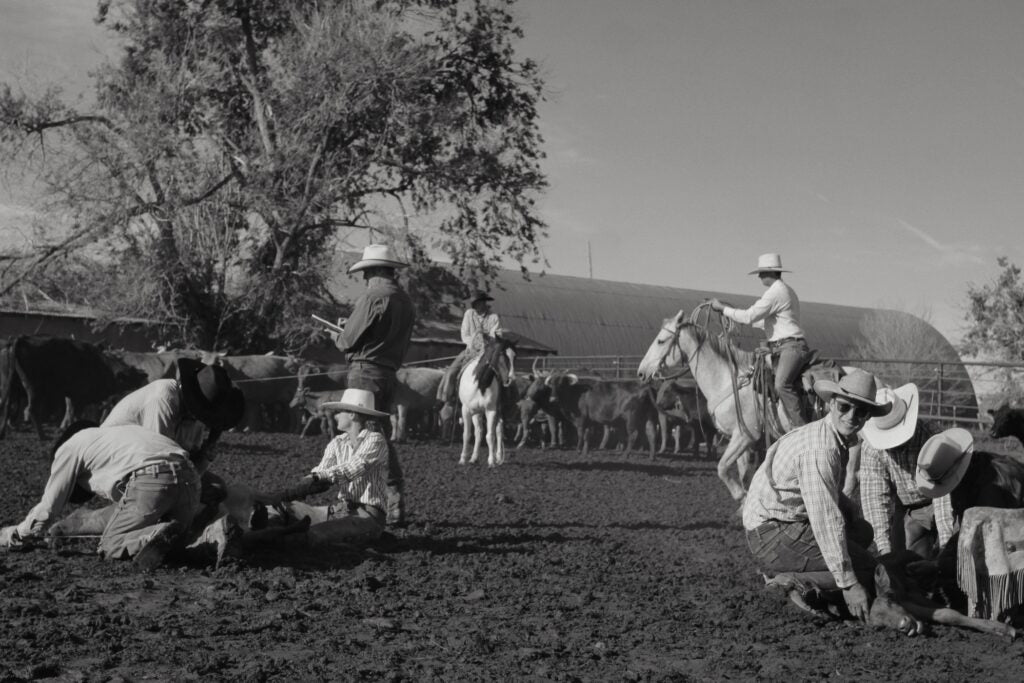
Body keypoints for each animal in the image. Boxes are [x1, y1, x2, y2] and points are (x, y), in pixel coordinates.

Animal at [0, 337, 146, 444]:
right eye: (132, 381)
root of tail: (20, 340)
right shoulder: (79, 398)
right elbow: (75, 414)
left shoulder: (73, 397)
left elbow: (71, 412)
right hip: (33, 388)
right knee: (32, 409)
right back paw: (43, 436)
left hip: (10, 385)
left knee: (7, 406)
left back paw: (3, 433)